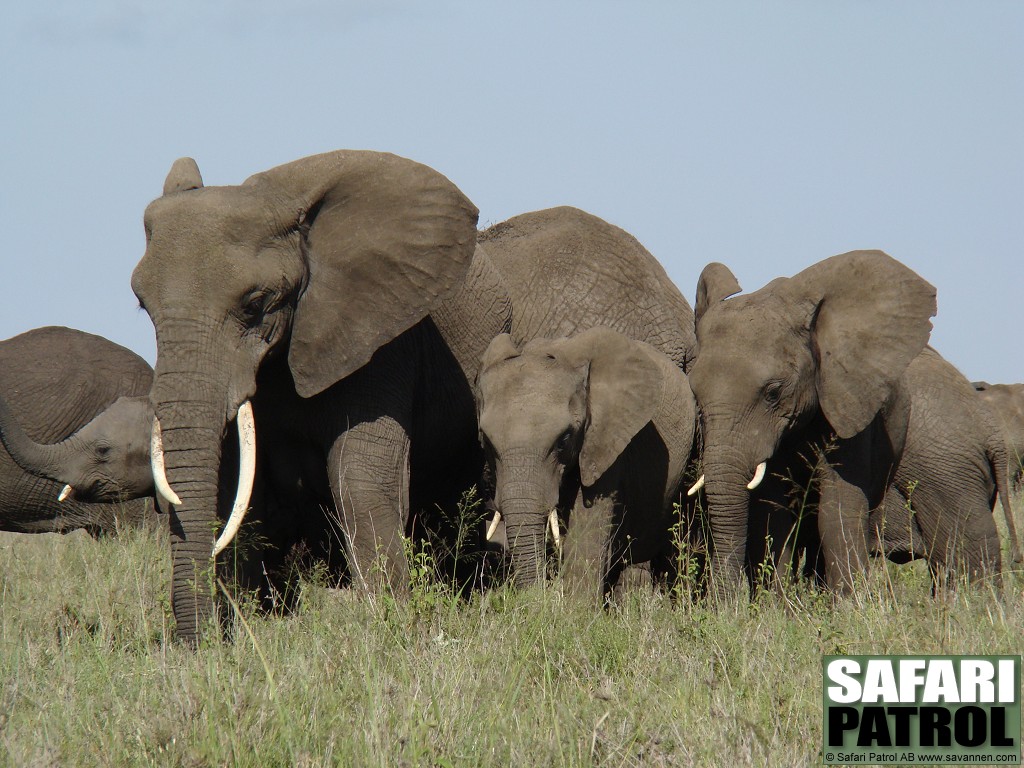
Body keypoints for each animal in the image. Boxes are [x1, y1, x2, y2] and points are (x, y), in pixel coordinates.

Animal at [475, 327, 700, 606]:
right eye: (486, 441)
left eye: (563, 440)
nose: (538, 600)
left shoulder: (606, 441)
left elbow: (586, 537)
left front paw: (575, 613)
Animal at [688, 252, 937, 593]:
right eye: (695, 394)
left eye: (773, 392)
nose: (724, 601)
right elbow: (774, 512)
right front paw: (777, 602)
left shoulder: (847, 401)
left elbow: (837, 509)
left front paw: (848, 603)